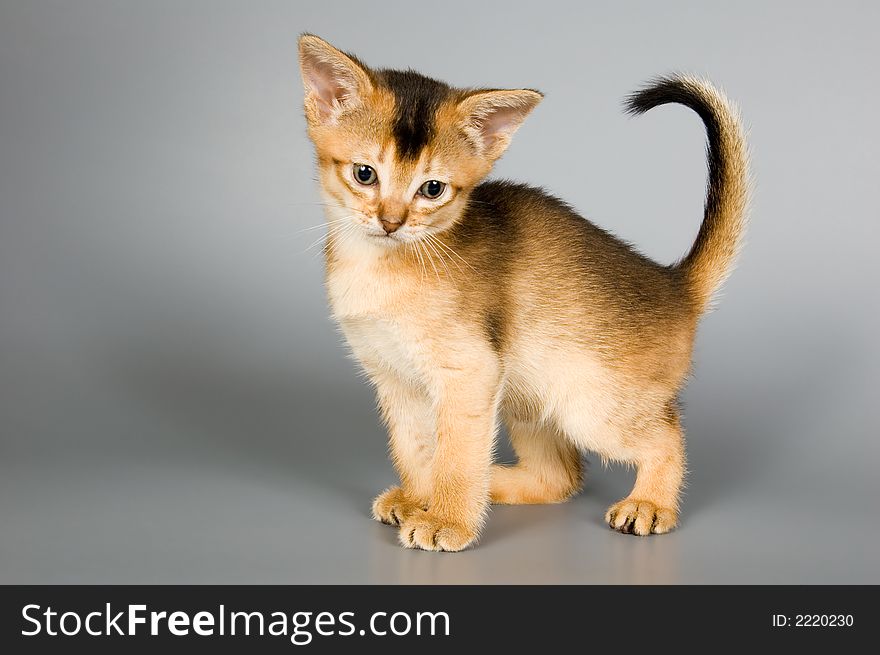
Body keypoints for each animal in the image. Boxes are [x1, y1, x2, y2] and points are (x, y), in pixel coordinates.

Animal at [298, 33, 748, 552]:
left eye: (432, 189)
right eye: (364, 174)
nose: (391, 222)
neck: (379, 267)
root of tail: (674, 284)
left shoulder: (471, 370)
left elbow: (457, 454)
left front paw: (447, 520)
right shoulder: (393, 375)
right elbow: (413, 447)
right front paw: (419, 496)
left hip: (591, 405)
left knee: (666, 435)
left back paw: (649, 504)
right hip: (528, 394)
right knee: (561, 477)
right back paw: (487, 482)